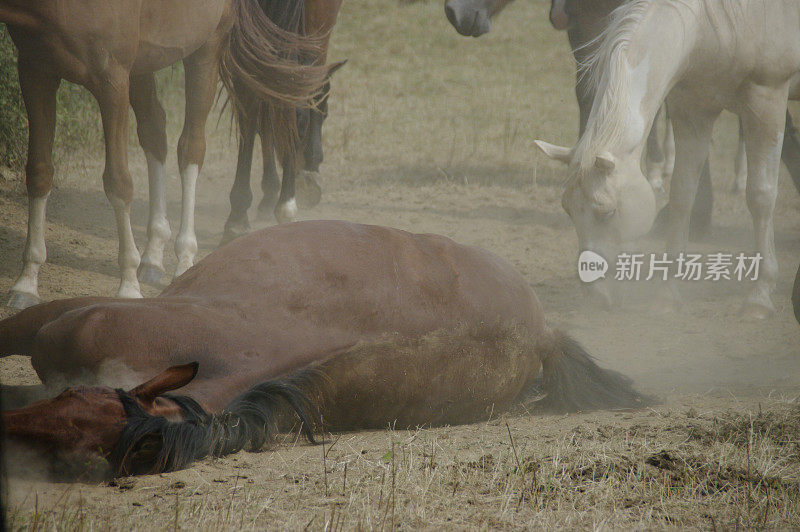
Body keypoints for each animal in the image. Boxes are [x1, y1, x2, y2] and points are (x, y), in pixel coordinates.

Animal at [0, 0, 324, 310]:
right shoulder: (35, 72)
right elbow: (39, 172)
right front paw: (26, 283)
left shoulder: (111, 80)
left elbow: (118, 182)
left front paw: (128, 286)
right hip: (145, 60)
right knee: (155, 130)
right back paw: (153, 256)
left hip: (206, 49)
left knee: (191, 147)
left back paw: (185, 259)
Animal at [536, 0, 800, 318]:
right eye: (569, 211)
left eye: (607, 213)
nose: (595, 297)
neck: (712, 21)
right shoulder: (693, 108)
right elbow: (682, 197)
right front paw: (668, 295)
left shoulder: (767, 100)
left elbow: (761, 197)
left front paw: (758, 298)